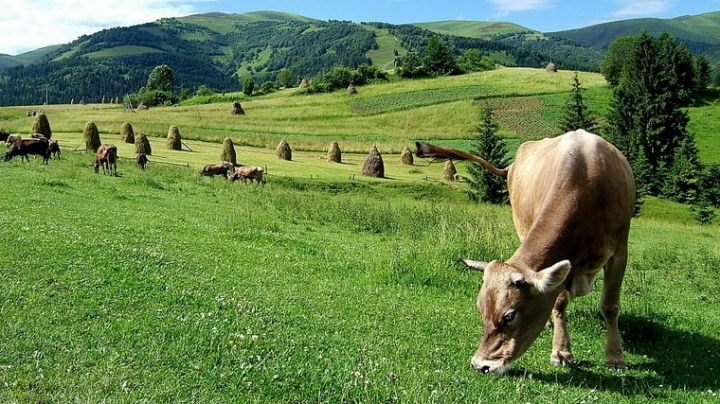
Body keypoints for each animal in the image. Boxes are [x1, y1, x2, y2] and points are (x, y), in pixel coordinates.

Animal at [416, 131, 636, 374]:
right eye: (481, 310)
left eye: (509, 315)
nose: (480, 365)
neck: (587, 181)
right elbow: (559, 302)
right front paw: (561, 350)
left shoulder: (619, 251)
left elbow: (610, 306)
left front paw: (615, 357)